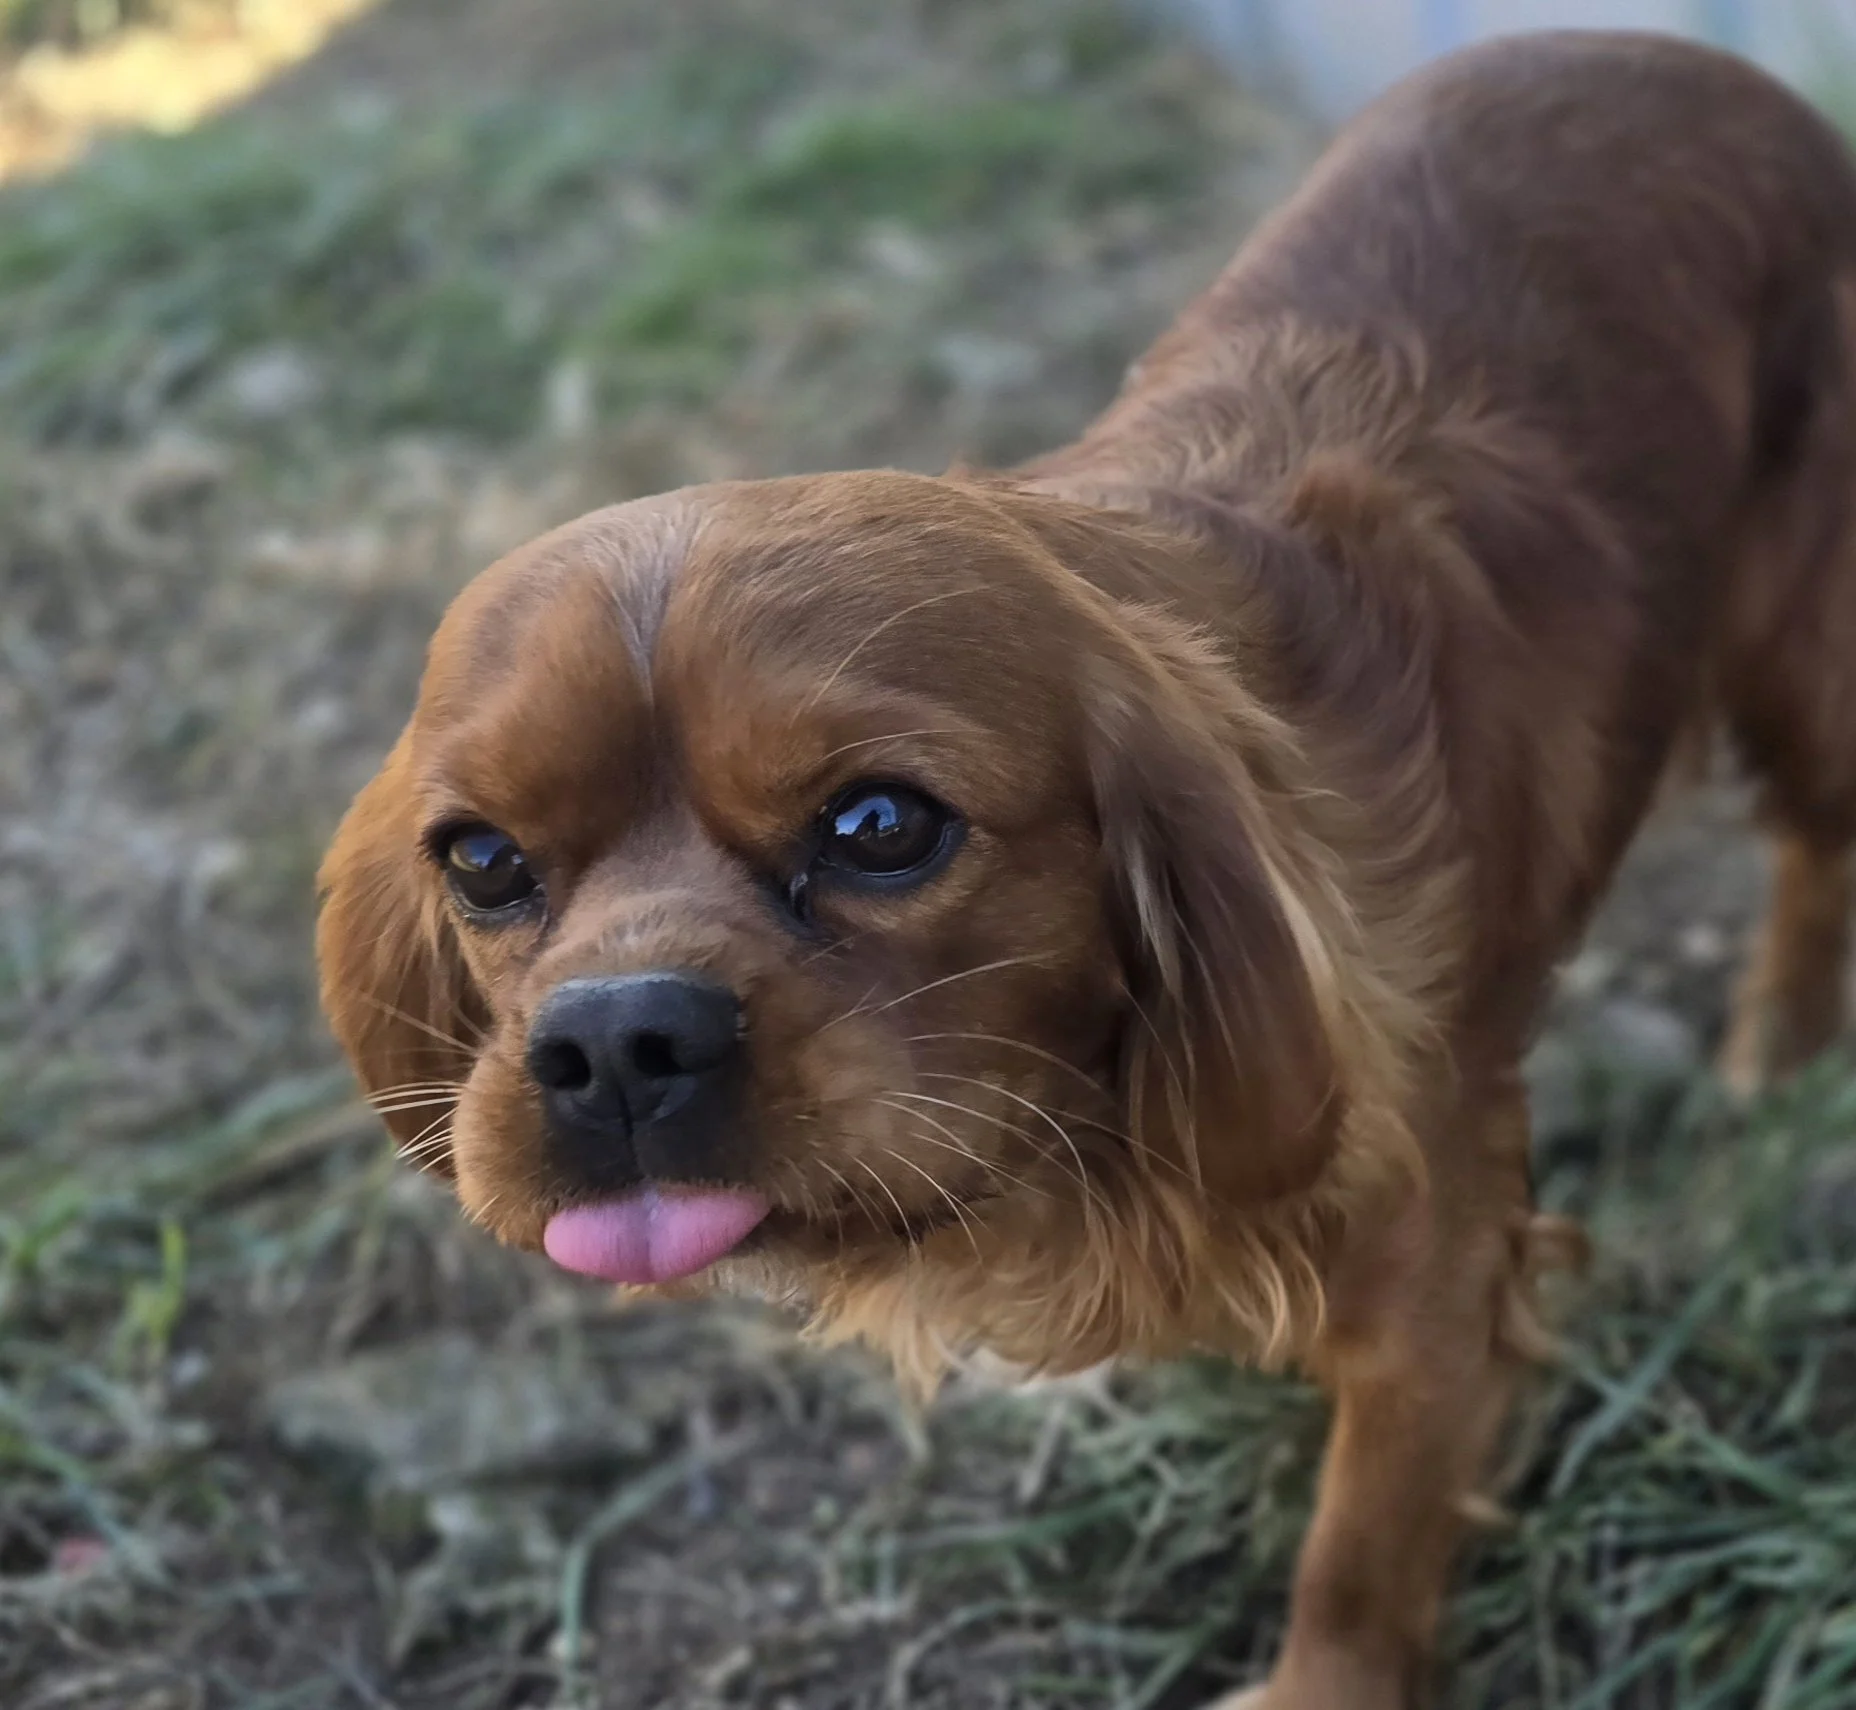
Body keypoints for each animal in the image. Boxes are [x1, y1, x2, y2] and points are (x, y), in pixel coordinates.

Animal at [317, 32, 1856, 1707]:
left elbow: (1360, 1546)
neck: (1083, 1122)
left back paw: (1777, 1054)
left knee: (1817, 847)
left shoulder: (1436, 1283)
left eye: (880, 826)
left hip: (1805, 660)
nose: (612, 1041)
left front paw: (1323, 1680)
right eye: (482, 860)